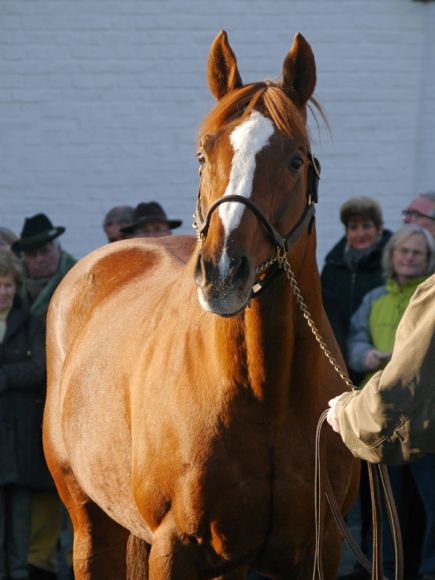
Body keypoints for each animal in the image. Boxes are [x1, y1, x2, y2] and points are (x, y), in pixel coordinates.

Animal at [44, 32, 360, 580]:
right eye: (201, 155)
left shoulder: (315, 550)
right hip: (89, 522)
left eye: (296, 160)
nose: (223, 272)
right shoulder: (175, 547)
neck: (266, 393)